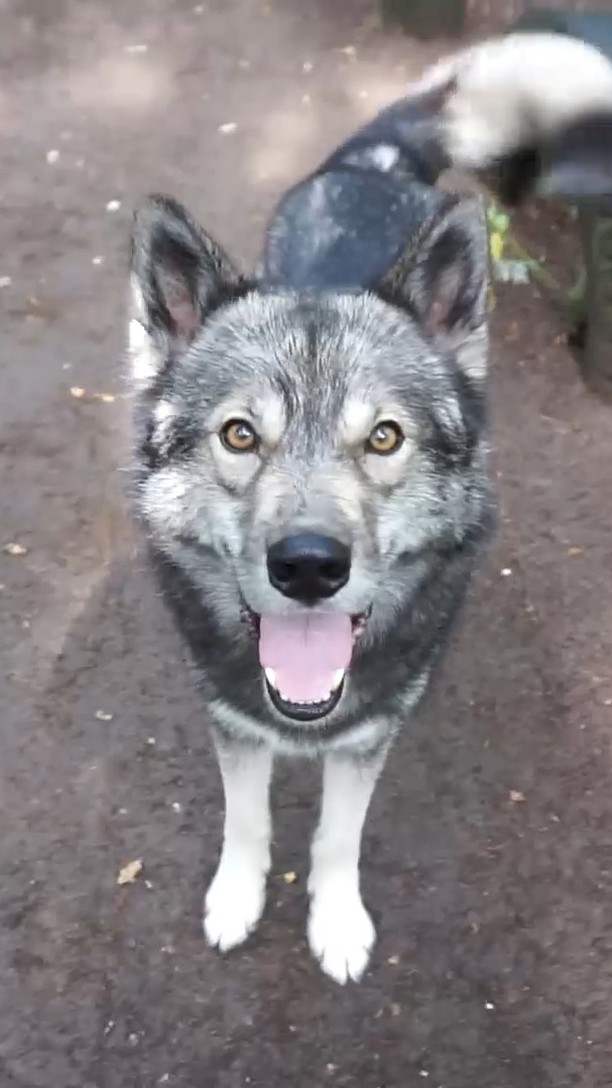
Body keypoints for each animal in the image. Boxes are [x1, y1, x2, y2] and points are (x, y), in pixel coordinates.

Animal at [126, 36, 609, 987]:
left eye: (384, 438)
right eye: (240, 435)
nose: (309, 565)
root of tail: (372, 163)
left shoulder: (367, 740)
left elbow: (336, 838)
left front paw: (337, 922)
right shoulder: (232, 724)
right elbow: (248, 820)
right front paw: (236, 897)